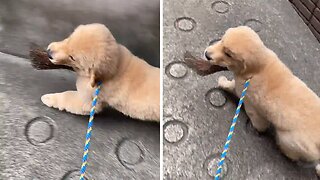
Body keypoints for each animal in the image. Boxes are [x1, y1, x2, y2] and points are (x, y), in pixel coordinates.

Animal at [204, 26, 320, 175]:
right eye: (221, 40)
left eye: (228, 54)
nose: (207, 54)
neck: (258, 68)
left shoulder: (246, 95)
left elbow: (233, 89)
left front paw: (223, 81)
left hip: (290, 140)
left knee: (291, 152)